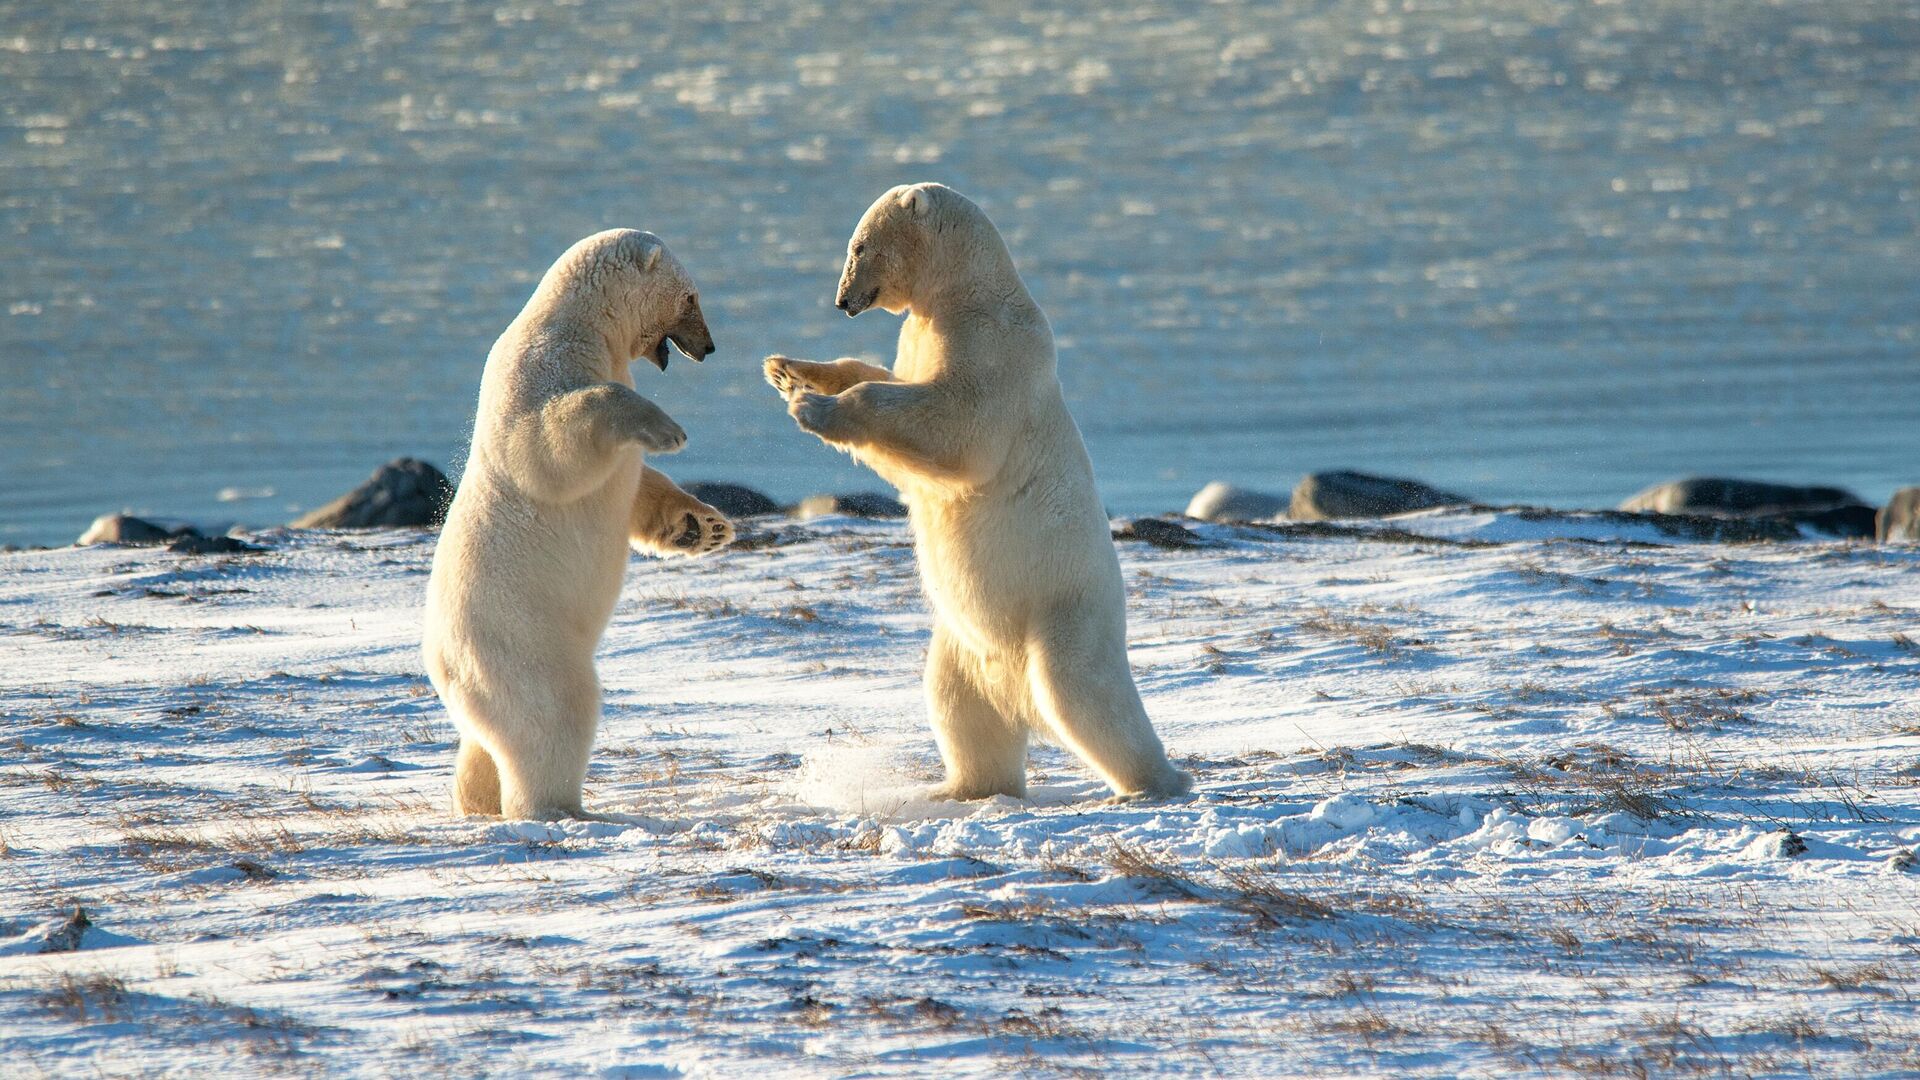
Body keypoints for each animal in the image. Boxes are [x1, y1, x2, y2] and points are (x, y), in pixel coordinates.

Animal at [424, 226, 729, 814]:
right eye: (691, 297)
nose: (708, 347)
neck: (582, 326)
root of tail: (441, 665)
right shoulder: (537, 369)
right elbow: (548, 445)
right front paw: (669, 429)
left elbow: (634, 486)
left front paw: (704, 527)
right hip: (520, 644)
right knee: (554, 715)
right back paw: (562, 808)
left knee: (484, 744)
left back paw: (476, 802)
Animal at [760, 180, 1182, 795]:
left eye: (858, 247)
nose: (842, 301)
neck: (965, 288)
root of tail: (1017, 690)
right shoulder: (924, 334)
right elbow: (895, 398)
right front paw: (789, 371)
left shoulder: (992, 344)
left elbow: (958, 425)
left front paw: (813, 407)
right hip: (964, 645)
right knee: (957, 703)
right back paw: (961, 786)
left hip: (1063, 611)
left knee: (1085, 696)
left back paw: (1158, 781)